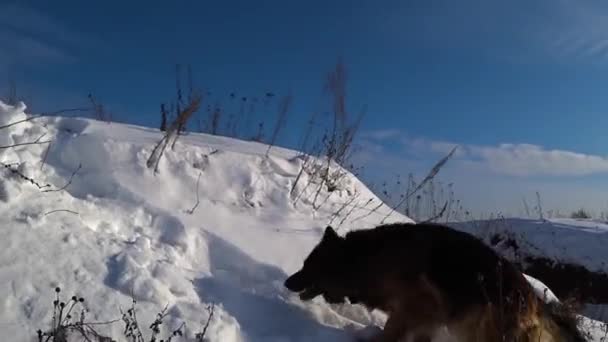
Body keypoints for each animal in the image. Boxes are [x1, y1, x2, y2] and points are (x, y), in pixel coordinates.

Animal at [284, 223, 584, 340]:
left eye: (308, 266)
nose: (287, 283)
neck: (367, 260)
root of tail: (534, 301)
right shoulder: (425, 318)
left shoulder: (416, 308)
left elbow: (390, 333)